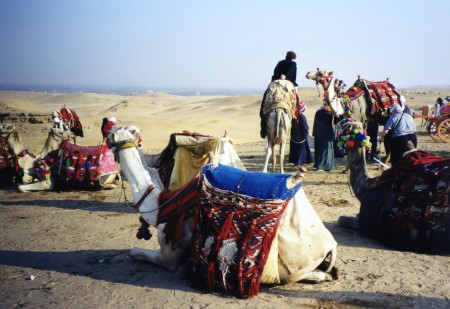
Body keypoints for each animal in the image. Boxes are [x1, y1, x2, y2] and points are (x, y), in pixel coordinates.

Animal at [106, 125, 338, 296]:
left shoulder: (169, 254)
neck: (161, 204)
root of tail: (331, 245)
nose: (108, 132)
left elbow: (134, 251)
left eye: (113, 134)